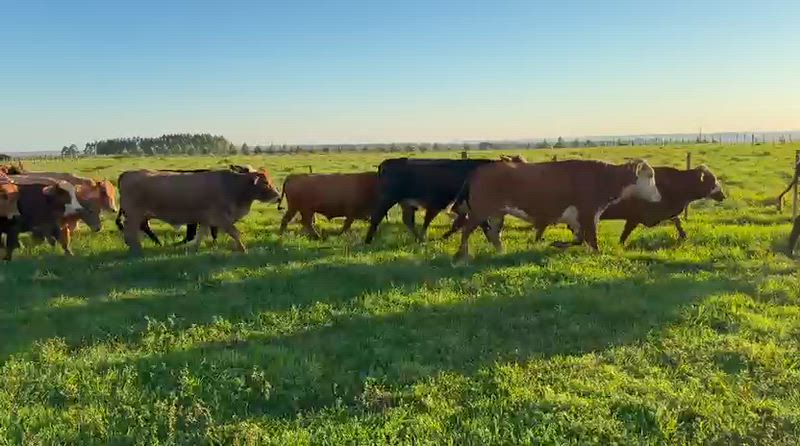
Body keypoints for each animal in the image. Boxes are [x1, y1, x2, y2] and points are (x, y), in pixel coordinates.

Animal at [117, 169, 280, 254]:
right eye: (265, 183)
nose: (278, 196)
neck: (234, 186)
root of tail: (127, 173)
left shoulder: (206, 219)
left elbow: (200, 234)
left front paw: (194, 249)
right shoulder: (222, 218)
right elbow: (235, 233)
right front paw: (243, 249)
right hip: (134, 215)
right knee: (130, 232)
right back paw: (136, 249)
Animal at [364, 155, 527, 244]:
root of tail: (388, 162)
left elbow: (461, 224)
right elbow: (478, 224)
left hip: (406, 203)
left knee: (408, 220)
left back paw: (420, 239)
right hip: (388, 198)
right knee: (376, 218)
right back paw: (368, 241)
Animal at [452, 159, 662, 262]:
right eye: (650, 175)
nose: (659, 197)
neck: (603, 177)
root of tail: (478, 171)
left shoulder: (580, 219)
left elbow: (580, 239)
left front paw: (558, 244)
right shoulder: (588, 214)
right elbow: (592, 240)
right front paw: (597, 254)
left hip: (497, 213)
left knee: (494, 234)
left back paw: (501, 253)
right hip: (480, 211)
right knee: (466, 230)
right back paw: (462, 256)